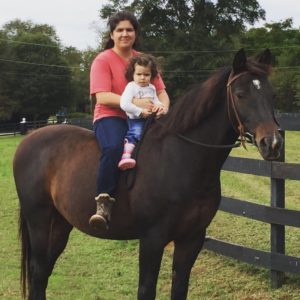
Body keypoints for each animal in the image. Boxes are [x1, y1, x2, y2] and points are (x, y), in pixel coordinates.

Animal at [13, 48, 282, 298]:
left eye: (272, 95)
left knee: (43, 274)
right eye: (240, 95)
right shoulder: (152, 239)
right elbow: (146, 289)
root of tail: (29, 140)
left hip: (60, 224)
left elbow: (180, 288)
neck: (180, 157)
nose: (273, 143)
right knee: (39, 272)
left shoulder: (191, 238)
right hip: (39, 221)